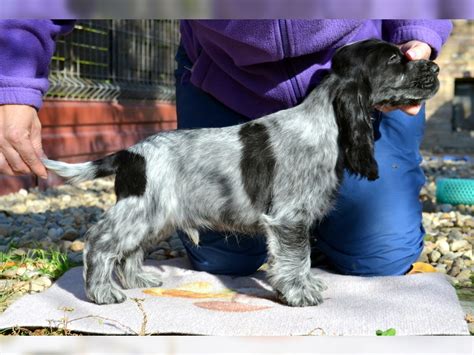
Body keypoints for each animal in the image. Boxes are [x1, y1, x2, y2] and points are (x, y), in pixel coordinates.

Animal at [44, 38, 440, 306]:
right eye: (394, 59)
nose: (434, 67)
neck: (324, 121)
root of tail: (130, 153)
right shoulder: (289, 219)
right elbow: (298, 257)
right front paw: (301, 292)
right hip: (141, 210)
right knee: (100, 241)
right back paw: (102, 291)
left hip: (156, 216)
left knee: (129, 249)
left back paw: (136, 279)